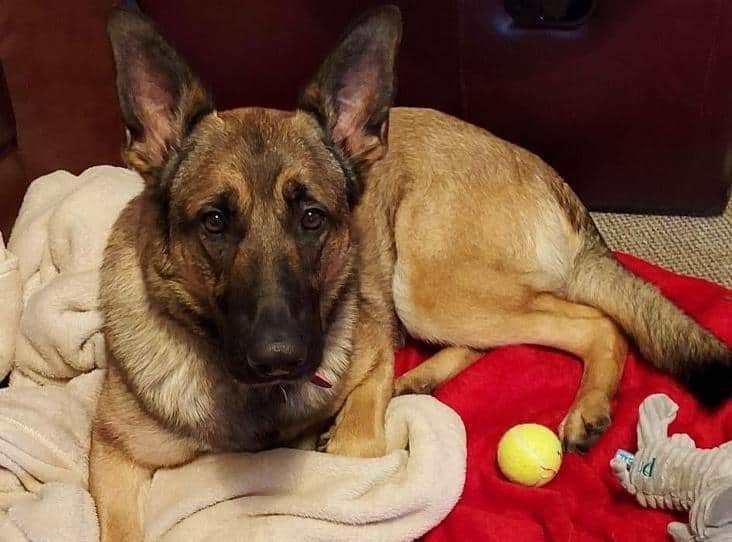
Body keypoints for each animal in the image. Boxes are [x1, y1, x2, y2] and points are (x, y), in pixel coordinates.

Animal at [93, 5, 732, 542]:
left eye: (312, 217)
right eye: (215, 222)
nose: (280, 357)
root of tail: (546, 175)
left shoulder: (370, 358)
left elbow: (352, 446)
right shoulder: (110, 453)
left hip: (424, 285)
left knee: (594, 322)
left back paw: (587, 407)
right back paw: (420, 380)